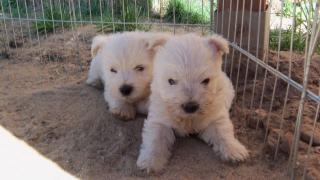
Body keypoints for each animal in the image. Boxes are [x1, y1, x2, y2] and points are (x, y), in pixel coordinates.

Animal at [136, 33, 249, 172]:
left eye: (206, 80)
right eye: (171, 81)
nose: (190, 107)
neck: (189, 118)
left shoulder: (216, 115)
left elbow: (223, 131)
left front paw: (234, 150)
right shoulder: (159, 118)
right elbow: (155, 138)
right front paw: (150, 161)